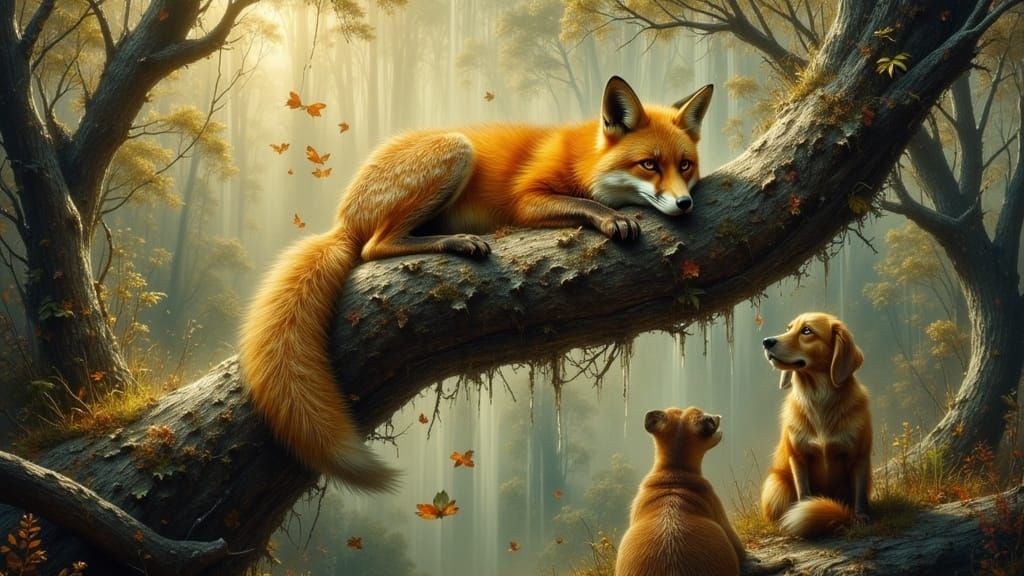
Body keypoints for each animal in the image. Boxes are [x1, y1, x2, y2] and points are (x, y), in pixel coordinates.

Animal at [239, 76, 714, 490]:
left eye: (685, 165)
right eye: (649, 165)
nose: (685, 204)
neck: (583, 158)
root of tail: (342, 216)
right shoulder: (526, 199)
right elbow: (584, 204)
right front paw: (612, 218)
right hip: (455, 152)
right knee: (375, 246)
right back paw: (456, 240)